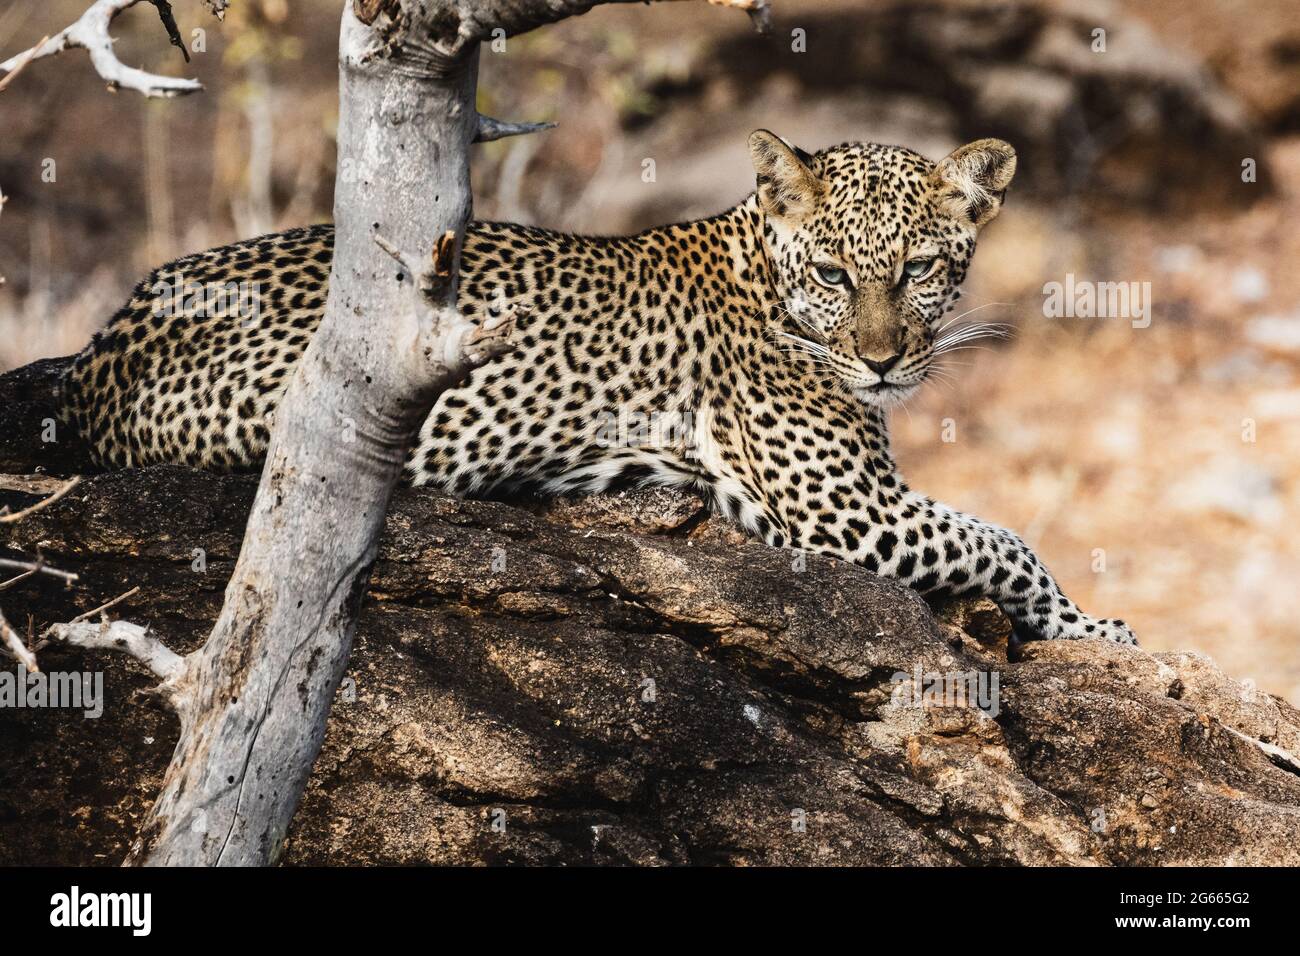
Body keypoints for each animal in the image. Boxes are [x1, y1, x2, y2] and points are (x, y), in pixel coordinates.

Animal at [61, 128, 1138, 642]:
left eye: (919, 268)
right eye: (834, 274)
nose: (881, 360)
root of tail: (102, 353)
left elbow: (997, 535)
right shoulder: (842, 509)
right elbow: (1005, 541)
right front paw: (1095, 627)